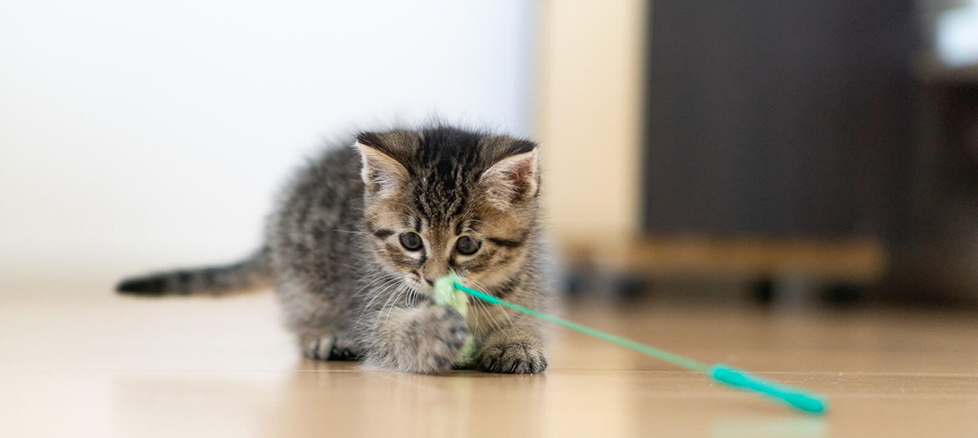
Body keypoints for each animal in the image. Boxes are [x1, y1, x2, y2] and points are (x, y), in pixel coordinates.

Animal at [116, 125, 548, 374]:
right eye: (410, 241)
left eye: (468, 245)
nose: (433, 279)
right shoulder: (371, 305)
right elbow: (385, 333)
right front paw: (426, 335)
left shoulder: (525, 285)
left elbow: (520, 318)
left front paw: (517, 343)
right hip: (302, 273)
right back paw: (325, 336)